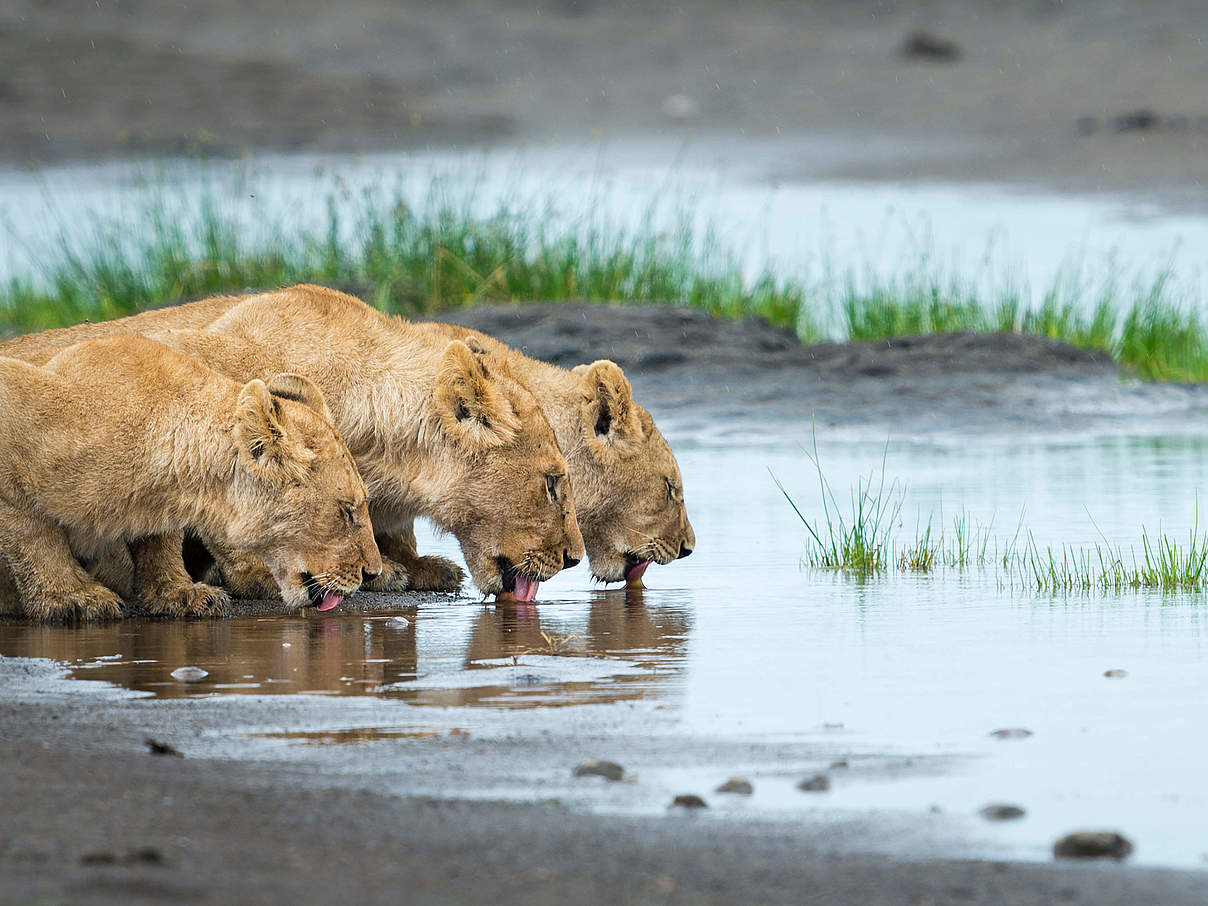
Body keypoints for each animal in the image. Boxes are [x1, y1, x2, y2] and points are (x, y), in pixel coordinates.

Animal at [0, 335, 379, 623]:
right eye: (347, 511)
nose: (371, 573)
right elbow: (33, 534)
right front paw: (73, 597)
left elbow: (160, 540)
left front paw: (180, 593)